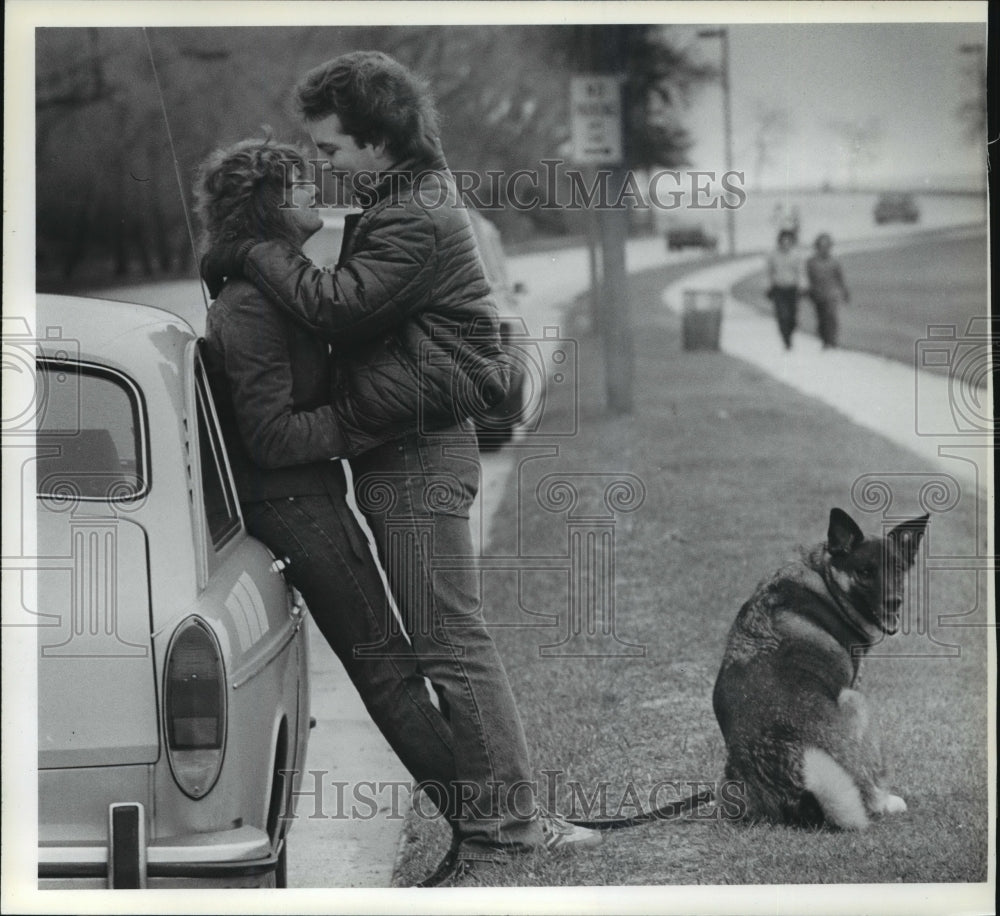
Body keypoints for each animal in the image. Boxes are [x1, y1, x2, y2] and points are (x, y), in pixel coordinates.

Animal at [712, 508, 928, 832]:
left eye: (899, 569)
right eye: (865, 572)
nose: (894, 602)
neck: (826, 580)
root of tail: (797, 793)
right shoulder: (854, 685)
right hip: (856, 702)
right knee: (866, 789)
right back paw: (886, 802)